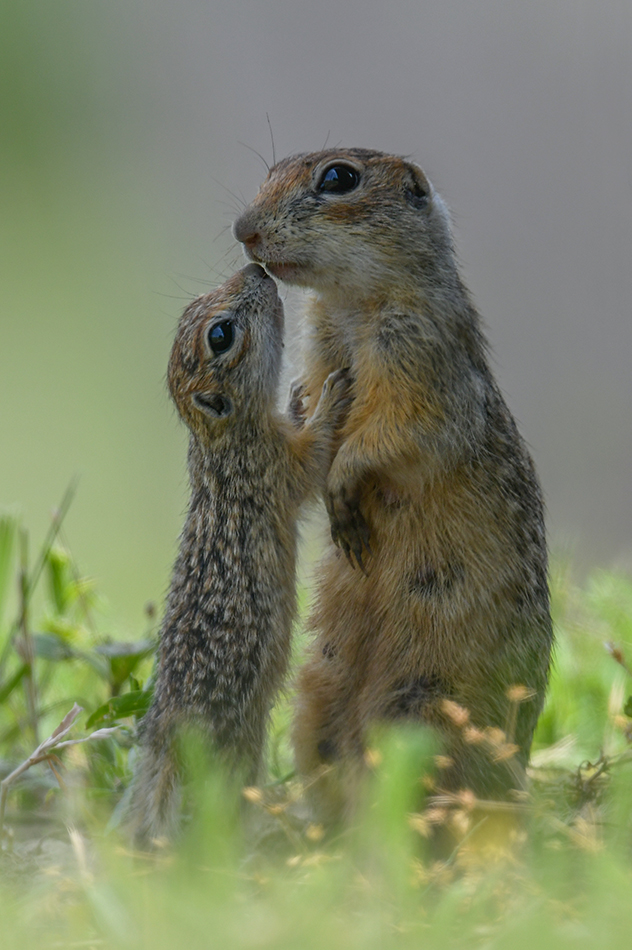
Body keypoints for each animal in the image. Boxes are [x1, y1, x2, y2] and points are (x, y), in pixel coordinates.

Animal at [126, 264, 348, 844]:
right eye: (221, 335)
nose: (257, 270)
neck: (219, 436)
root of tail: (167, 738)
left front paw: (299, 398)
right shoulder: (273, 464)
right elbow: (312, 458)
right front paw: (329, 400)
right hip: (243, 740)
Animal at [233, 149, 552, 824]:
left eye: (339, 178)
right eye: (270, 170)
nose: (243, 230)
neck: (351, 305)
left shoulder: (416, 353)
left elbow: (394, 432)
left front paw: (345, 493)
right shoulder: (321, 347)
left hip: (424, 704)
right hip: (316, 695)